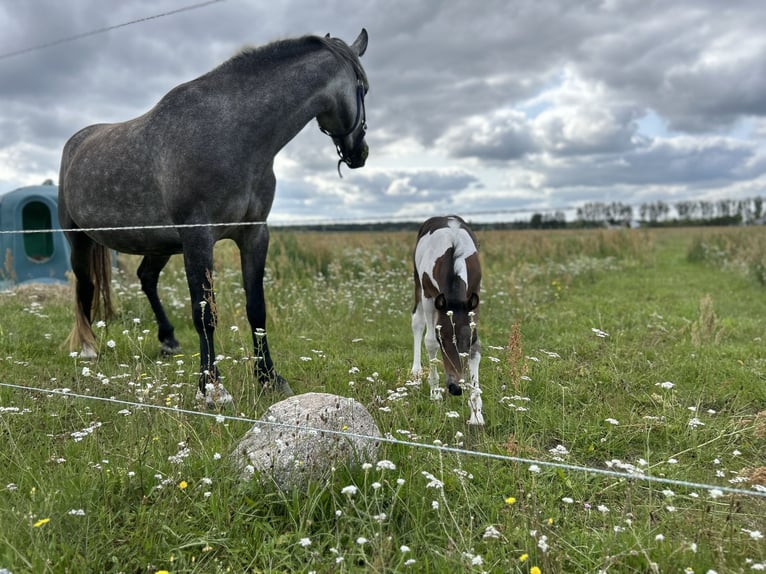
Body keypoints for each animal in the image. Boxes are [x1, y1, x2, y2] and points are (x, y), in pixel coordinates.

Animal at [58, 29, 370, 408]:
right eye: (364, 89)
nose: (360, 153)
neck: (230, 133)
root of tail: (76, 143)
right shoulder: (198, 237)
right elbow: (205, 313)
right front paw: (211, 389)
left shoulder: (254, 234)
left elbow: (256, 308)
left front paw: (269, 377)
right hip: (79, 239)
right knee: (85, 284)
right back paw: (89, 348)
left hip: (158, 244)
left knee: (146, 278)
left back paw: (168, 340)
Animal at [412, 216, 484, 428]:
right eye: (442, 339)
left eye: (467, 340)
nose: (455, 387)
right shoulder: (430, 296)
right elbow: (430, 342)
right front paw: (434, 392)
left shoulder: (474, 297)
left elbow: (476, 347)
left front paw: (476, 414)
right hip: (417, 282)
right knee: (417, 321)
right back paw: (416, 372)